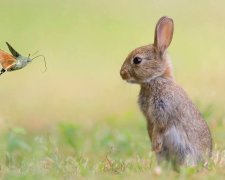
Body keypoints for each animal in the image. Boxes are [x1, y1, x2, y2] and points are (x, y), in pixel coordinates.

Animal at [120, 16, 212, 166]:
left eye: (137, 60)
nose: (122, 74)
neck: (155, 79)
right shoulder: (149, 117)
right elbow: (150, 127)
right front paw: (152, 143)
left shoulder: (164, 110)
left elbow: (160, 127)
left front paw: (155, 144)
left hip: (187, 154)